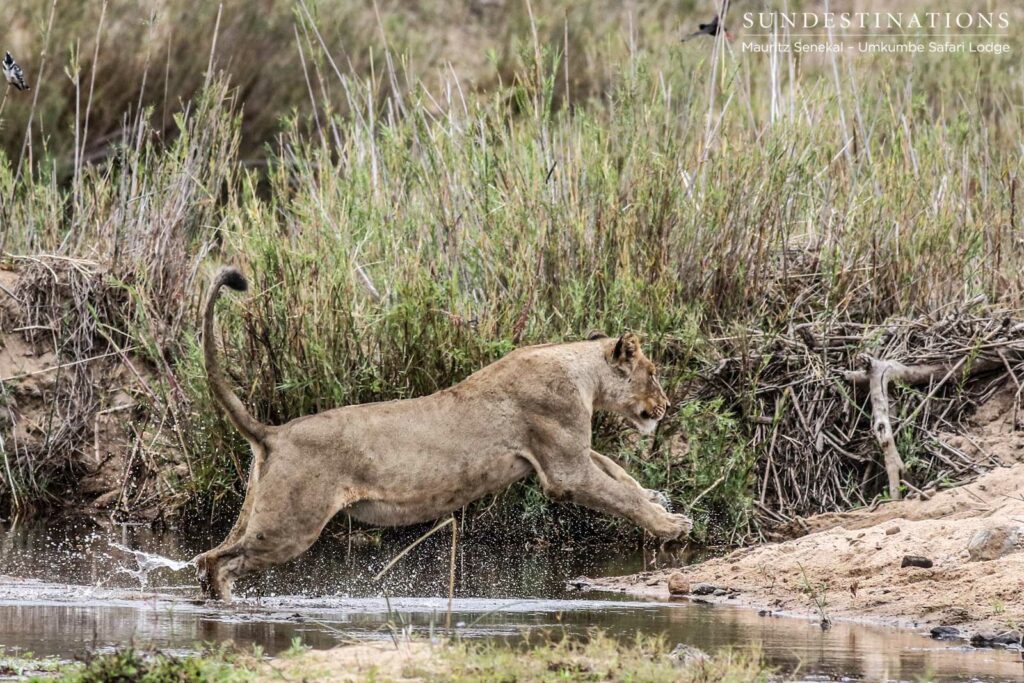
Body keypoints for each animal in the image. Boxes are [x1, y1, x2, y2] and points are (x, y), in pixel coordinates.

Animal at [194, 268, 692, 600]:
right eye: (652, 372)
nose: (666, 407)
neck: (581, 372)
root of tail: (274, 432)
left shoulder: (570, 452)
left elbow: (619, 474)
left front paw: (661, 502)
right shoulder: (563, 468)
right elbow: (618, 494)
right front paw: (670, 525)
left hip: (259, 511)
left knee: (208, 556)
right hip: (291, 524)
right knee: (218, 561)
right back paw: (229, 606)